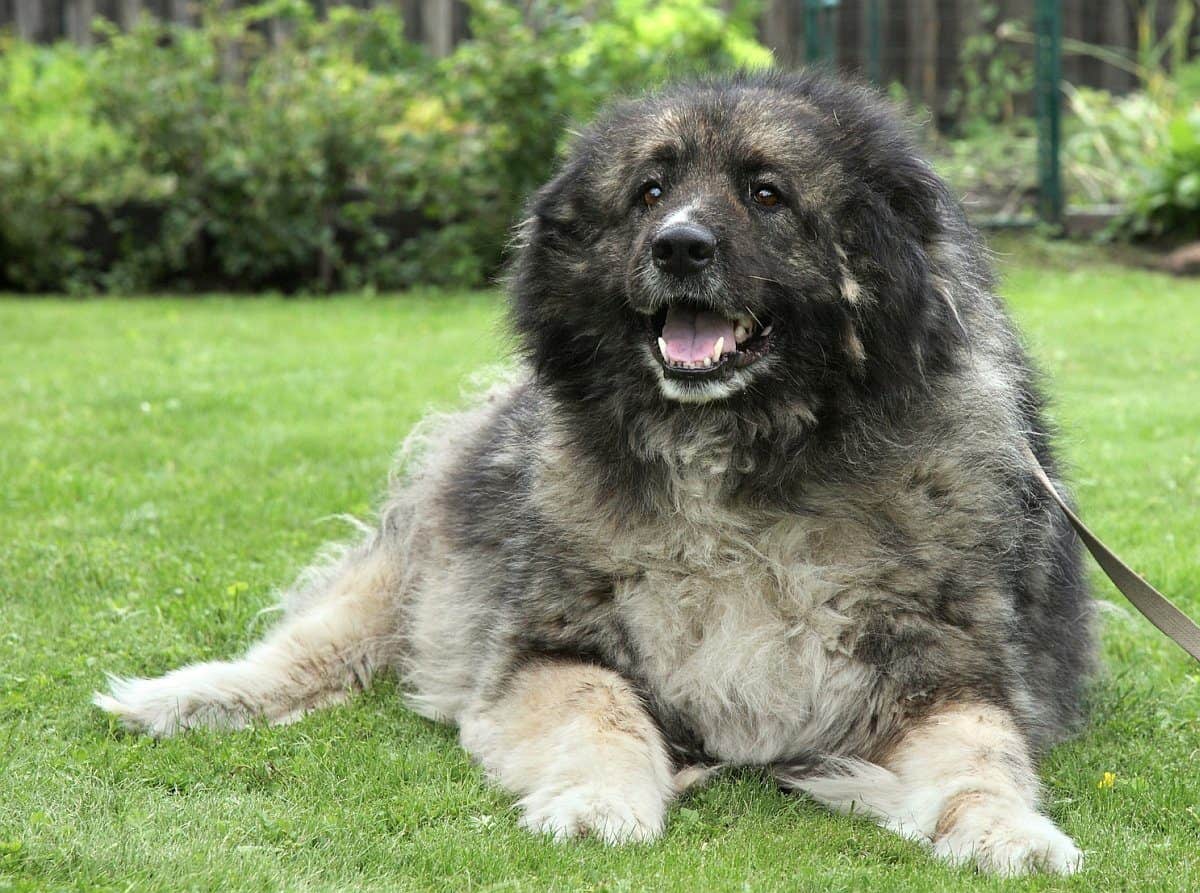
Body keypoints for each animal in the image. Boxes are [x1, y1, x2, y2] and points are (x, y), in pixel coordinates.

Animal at [98, 73, 1099, 873]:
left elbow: (983, 757)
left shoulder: (950, 680)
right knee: (309, 648)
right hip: (420, 572)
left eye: (767, 194)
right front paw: (599, 802)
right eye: (649, 191)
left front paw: (1007, 830)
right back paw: (181, 698)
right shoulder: (550, 648)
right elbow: (602, 715)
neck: (739, 468)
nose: (679, 246)